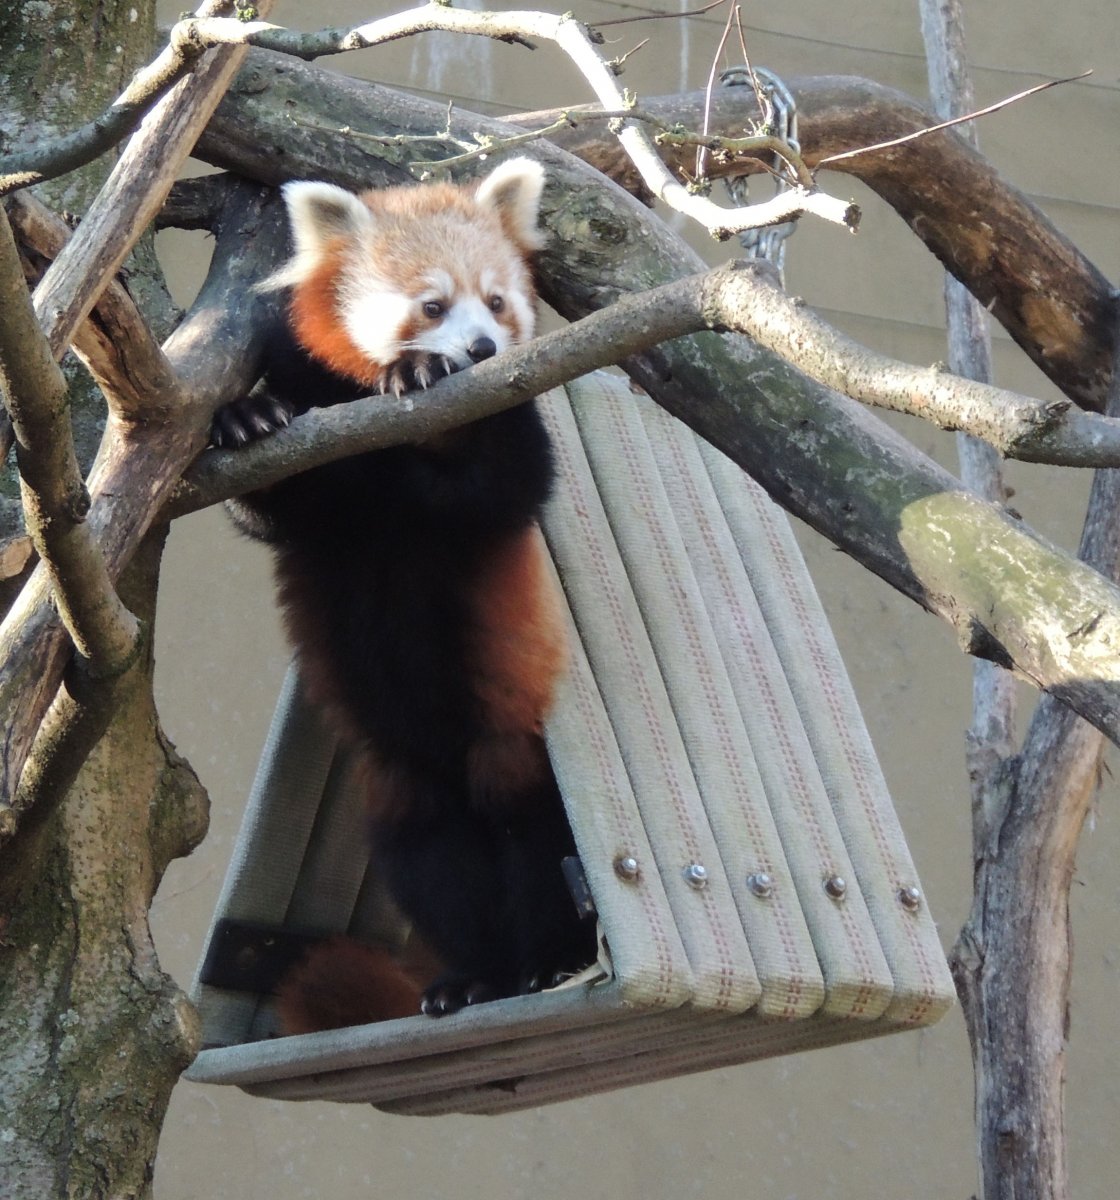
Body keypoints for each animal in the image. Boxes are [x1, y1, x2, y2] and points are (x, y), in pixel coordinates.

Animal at [210, 157, 595, 1022]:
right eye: (432, 304)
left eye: (497, 300)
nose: (481, 346)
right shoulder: (303, 385)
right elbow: (270, 505)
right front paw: (244, 418)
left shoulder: (504, 443)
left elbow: (501, 484)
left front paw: (420, 376)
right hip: (401, 781)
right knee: (432, 858)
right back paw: (474, 975)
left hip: (511, 738)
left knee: (534, 834)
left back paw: (548, 960)